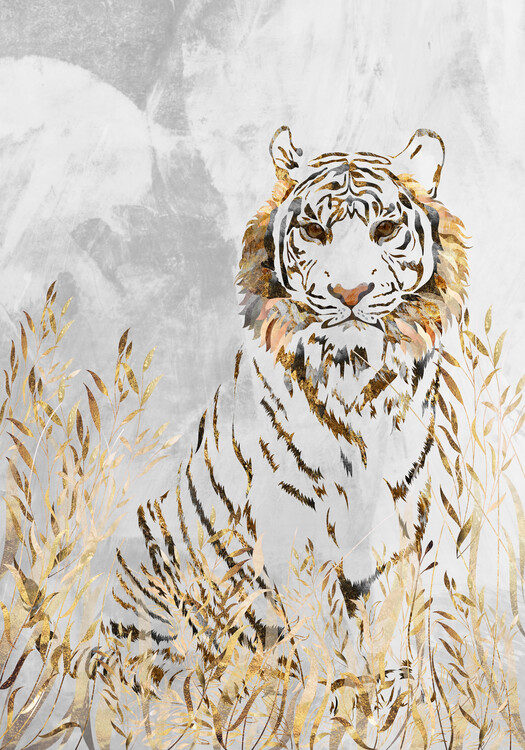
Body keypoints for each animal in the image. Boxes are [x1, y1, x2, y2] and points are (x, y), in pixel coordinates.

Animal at [112, 125, 468, 649]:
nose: (350, 292)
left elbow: (386, 641)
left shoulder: (397, 530)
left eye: (385, 229)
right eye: (315, 231)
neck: (354, 377)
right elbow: (324, 650)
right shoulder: (293, 536)